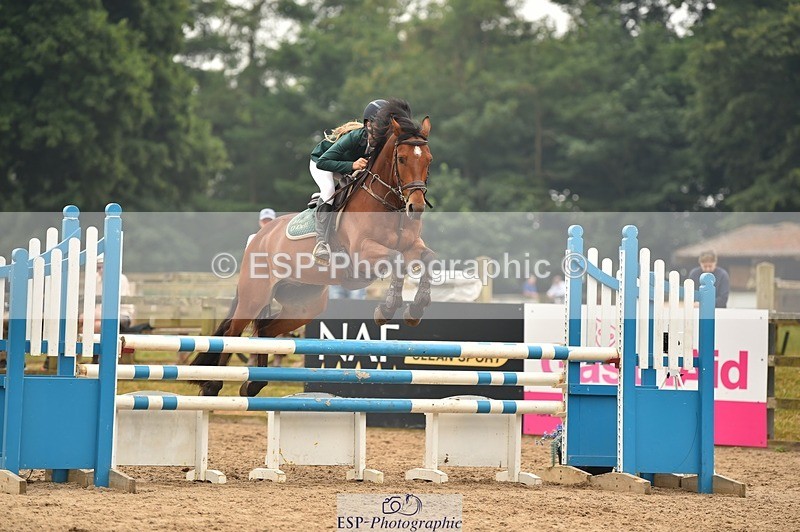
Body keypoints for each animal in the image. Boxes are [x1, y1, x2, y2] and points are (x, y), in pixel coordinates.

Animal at [192, 100, 435, 397]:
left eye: (428, 159)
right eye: (402, 159)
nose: (416, 207)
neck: (387, 204)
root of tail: (259, 237)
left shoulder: (412, 246)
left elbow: (428, 258)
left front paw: (416, 309)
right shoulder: (364, 254)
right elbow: (397, 261)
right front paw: (387, 309)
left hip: (303, 305)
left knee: (264, 328)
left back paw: (254, 384)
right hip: (254, 296)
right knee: (232, 333)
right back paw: (212, 385)